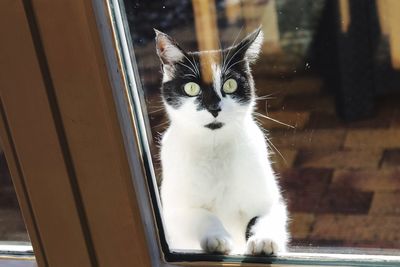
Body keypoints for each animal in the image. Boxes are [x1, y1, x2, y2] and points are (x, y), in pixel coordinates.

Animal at [155, 28, 290, 256]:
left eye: (230, 84)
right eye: (191, 88)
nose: (214, 107)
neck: (215, 149)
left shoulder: (271, 201)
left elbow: (265, 216)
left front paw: (264, 239)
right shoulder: (174, 214)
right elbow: (202, 214)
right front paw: (218, 238)